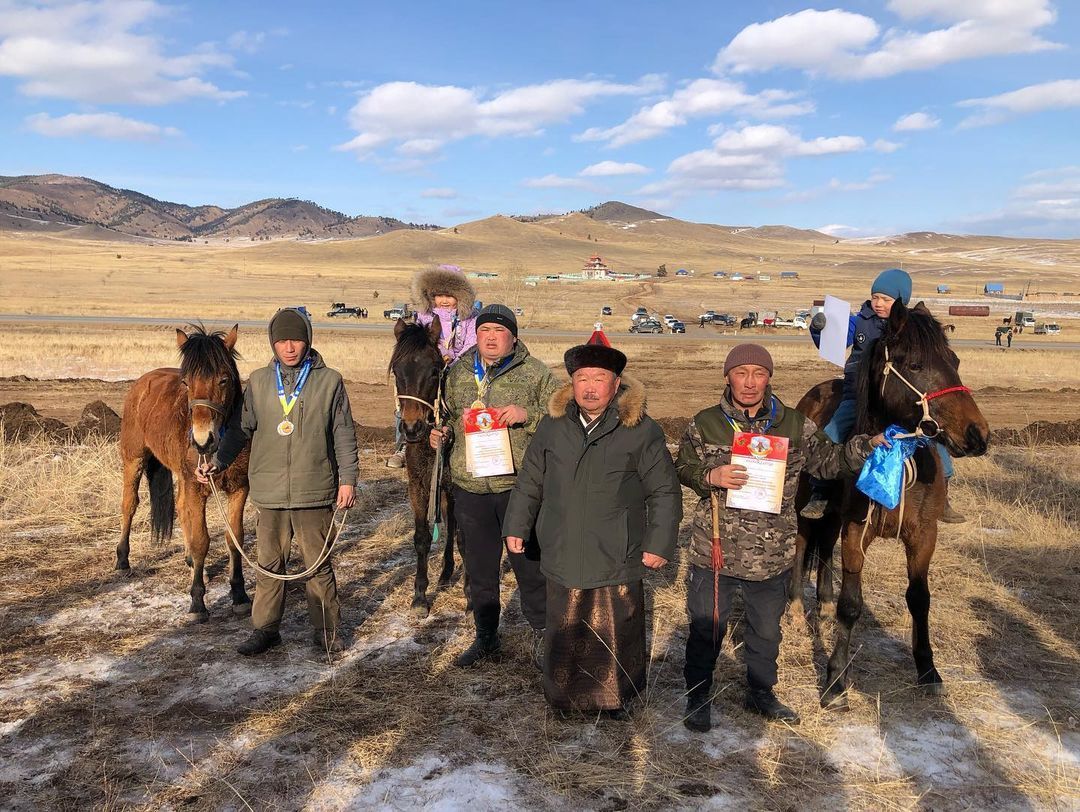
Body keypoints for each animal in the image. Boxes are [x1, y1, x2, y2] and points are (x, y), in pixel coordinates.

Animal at [117, 323, 251, 621]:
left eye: (223, 380)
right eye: (187, 382)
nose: (202, 441)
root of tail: (142, 383)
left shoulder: (238, 488)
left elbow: (234, 538)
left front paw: (239, 595)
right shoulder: (196, 488)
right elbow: (201, 540)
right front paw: (198, 601)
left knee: (179, 507)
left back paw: (190, 562)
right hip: (134, 459)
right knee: (129, 504)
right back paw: (122, 560)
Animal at [790, 302, 989, 708]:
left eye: (955, 360)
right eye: (914, 364)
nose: (978, 434)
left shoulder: (923, 536)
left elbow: (919, 598)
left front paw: (928, 669)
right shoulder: (856, 532)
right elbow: (852, 605)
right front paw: (835, 679)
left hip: (834, 519)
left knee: (824, 547)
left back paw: (823, 601)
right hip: (808, 507)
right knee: (804, 544)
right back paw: (796, 607)